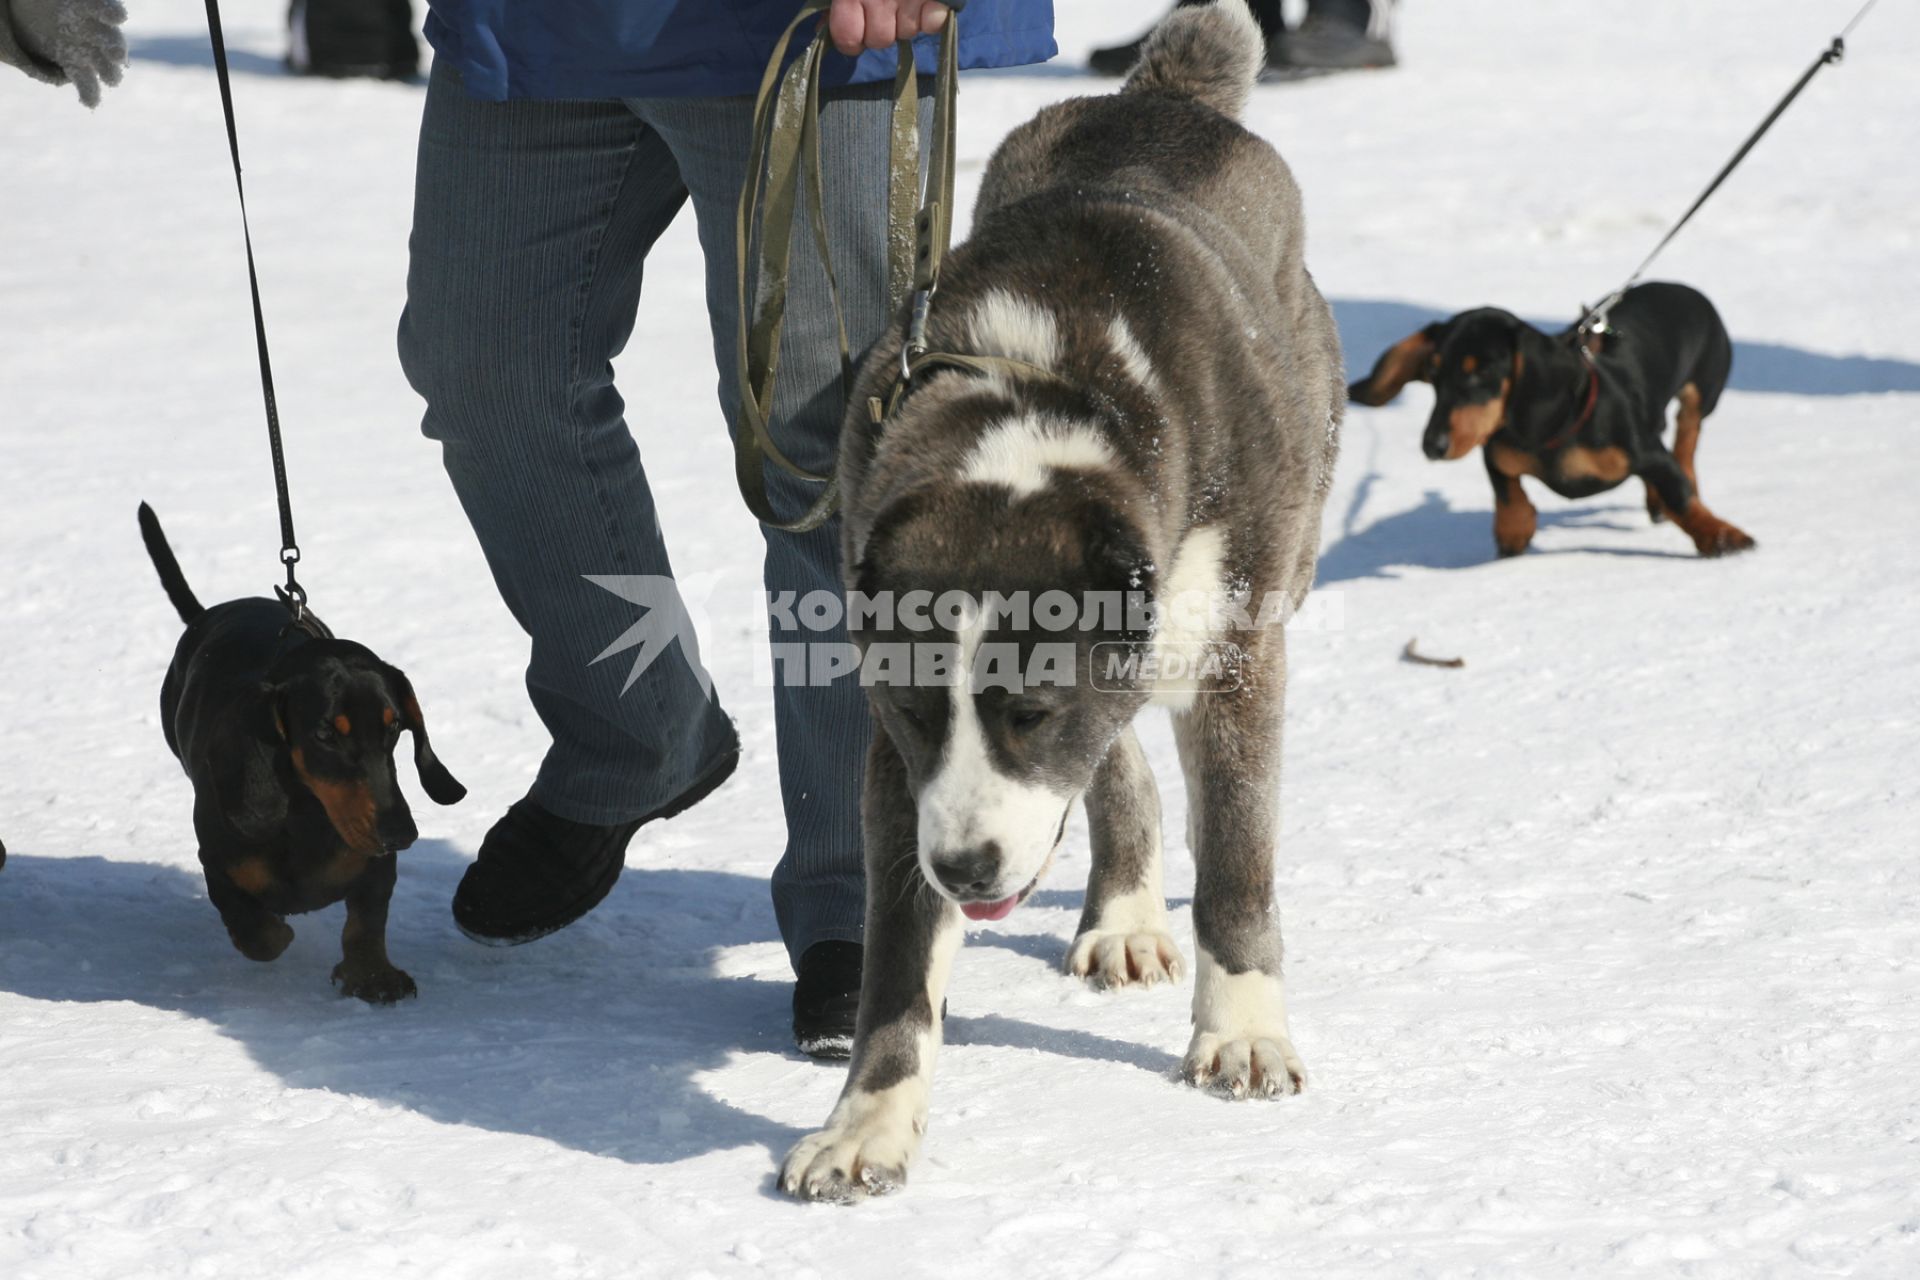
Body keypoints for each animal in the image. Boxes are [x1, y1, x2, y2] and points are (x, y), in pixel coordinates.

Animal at [771, 0, 1344, 1205]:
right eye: (916, 714)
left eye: (1030, 713)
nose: (965, 868)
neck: (1047, 391)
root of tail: (1164, 101)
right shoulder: (899, 768)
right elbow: (899, 960)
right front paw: (868, 1122)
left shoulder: (1237, 659)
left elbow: (1237, 865)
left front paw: (1242, 1033)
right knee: (1120, 766)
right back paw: (1121, 912)